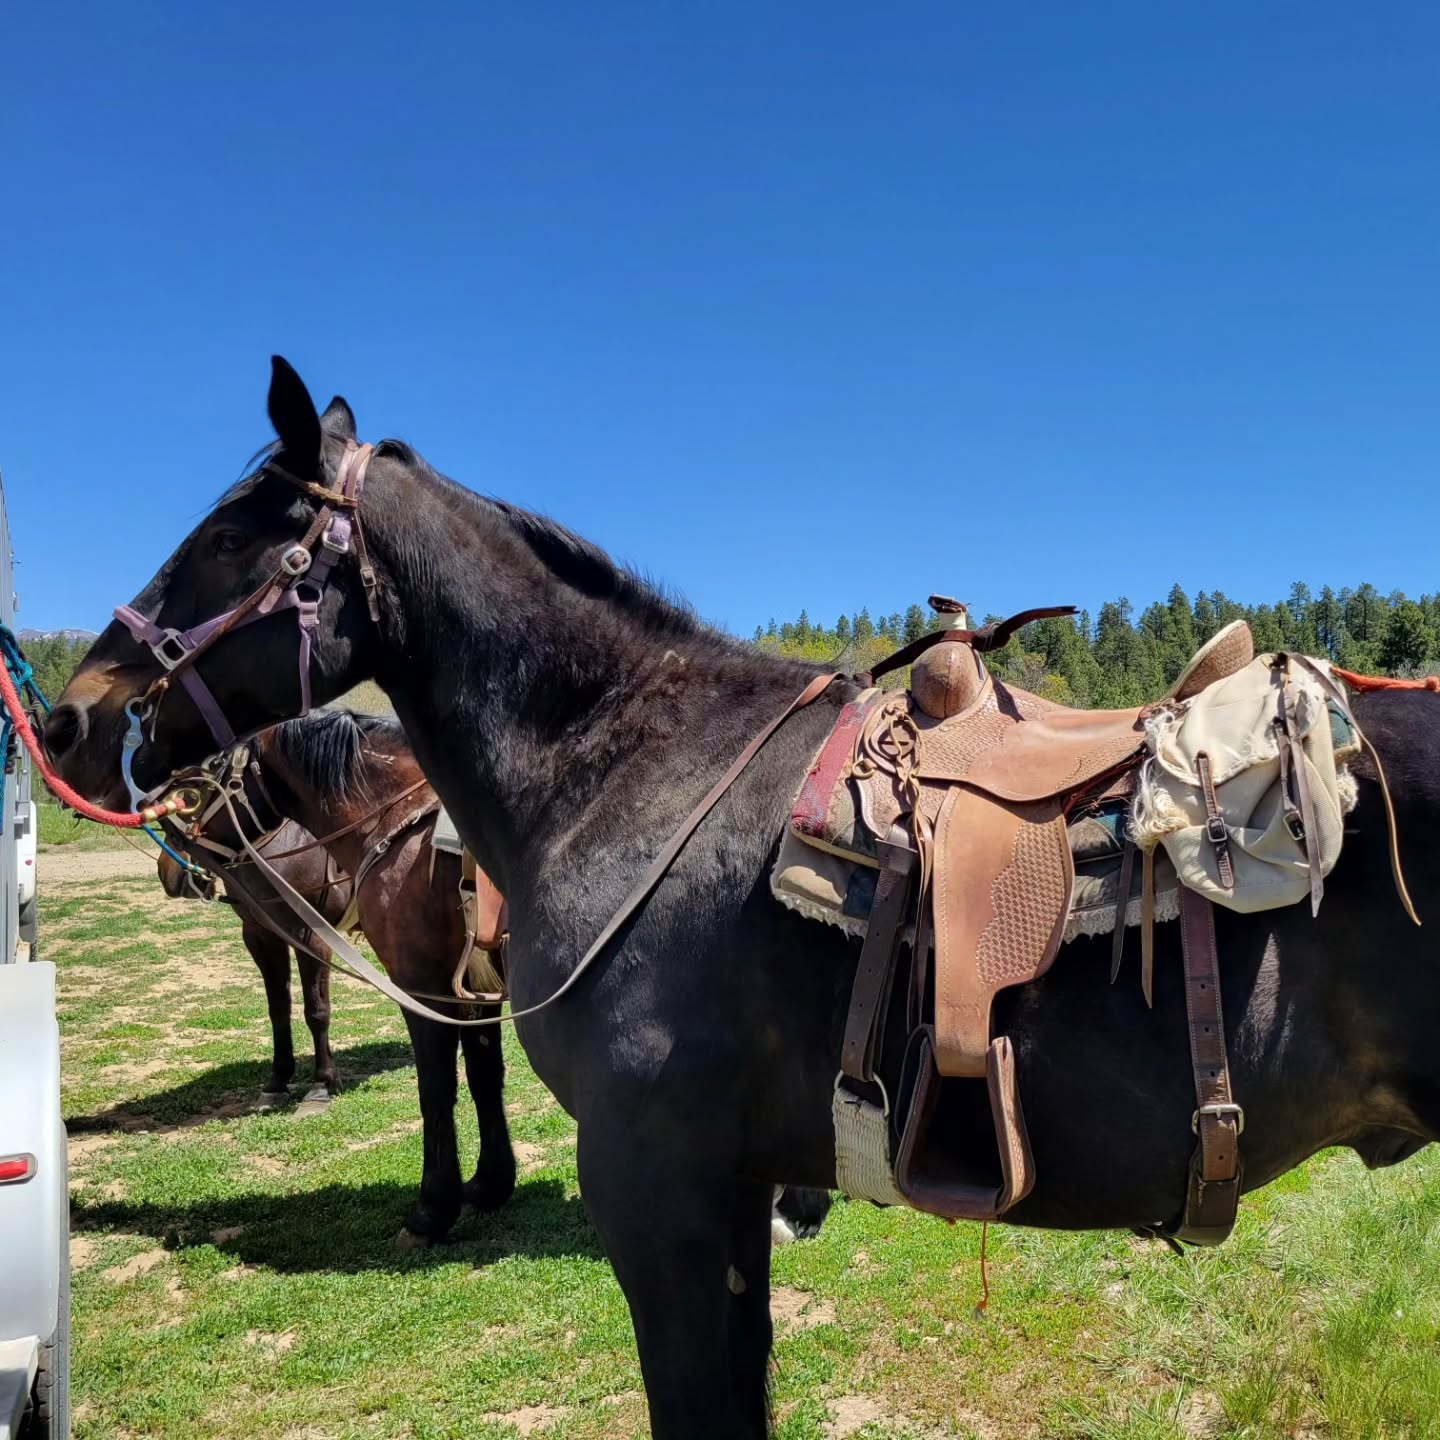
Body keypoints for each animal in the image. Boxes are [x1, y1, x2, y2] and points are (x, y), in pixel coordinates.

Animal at [157, 709, 518, 1243]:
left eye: (211, 776)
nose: (172, 866)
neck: (407, 835)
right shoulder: (472, 989)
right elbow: (483, 1075)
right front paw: (490, 1184)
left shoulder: (416, 983)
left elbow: (434, 1088)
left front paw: (432, 1210)